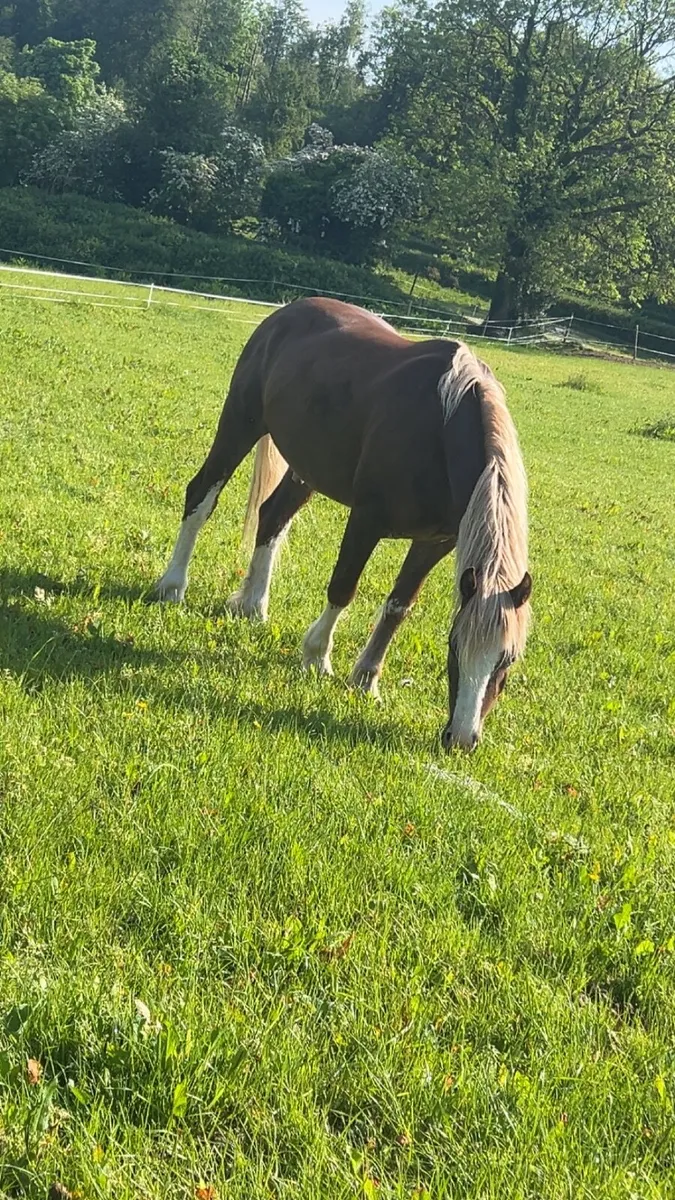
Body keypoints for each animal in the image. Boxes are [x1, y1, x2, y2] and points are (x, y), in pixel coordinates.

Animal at [155, 297, 532, 750]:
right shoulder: (367, 519)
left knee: (272, 517)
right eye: (455, 646)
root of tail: (287, 311)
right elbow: (343, 587)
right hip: (241, 423)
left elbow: (398, 606)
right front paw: (317, 656)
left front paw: (367, 680)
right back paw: (172, 586)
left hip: (306, 467)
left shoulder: (435, 542)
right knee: (201, 497)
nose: (460, 738)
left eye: (507, 659)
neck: (441, 430)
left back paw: (253, 605)